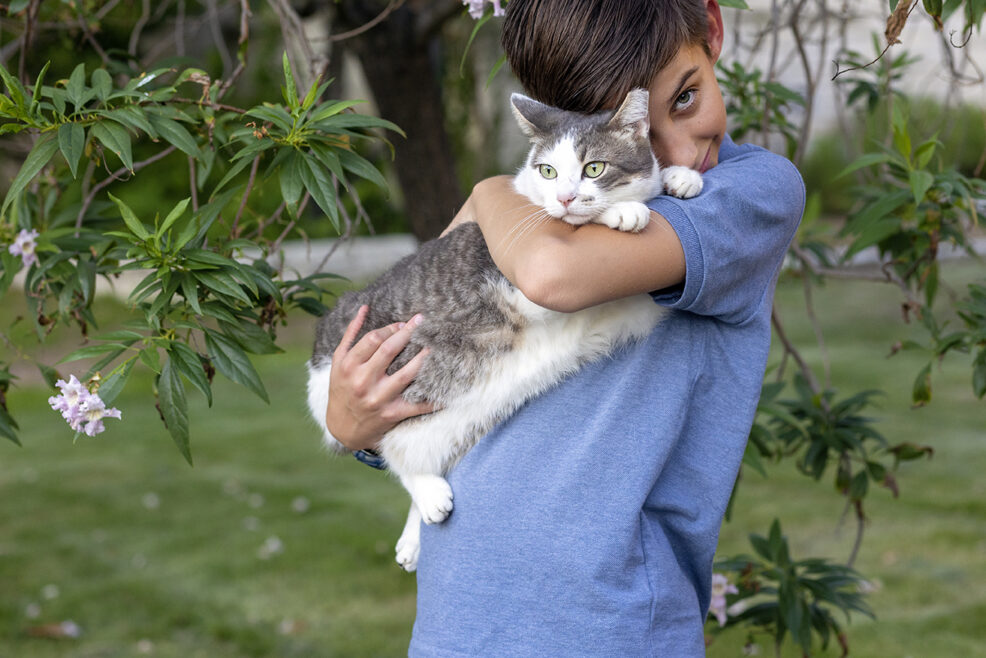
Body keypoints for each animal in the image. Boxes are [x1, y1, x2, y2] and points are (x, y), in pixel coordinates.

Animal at [306, 87, 700, 568]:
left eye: (594, 168)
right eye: (548, 171)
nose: (564, 197)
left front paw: (680, 176)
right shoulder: (520, 281)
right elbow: (583, 224)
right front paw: (625, 210)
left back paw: (413, 536)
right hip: (338, 385)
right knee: (393, 448)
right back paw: (427, 493)